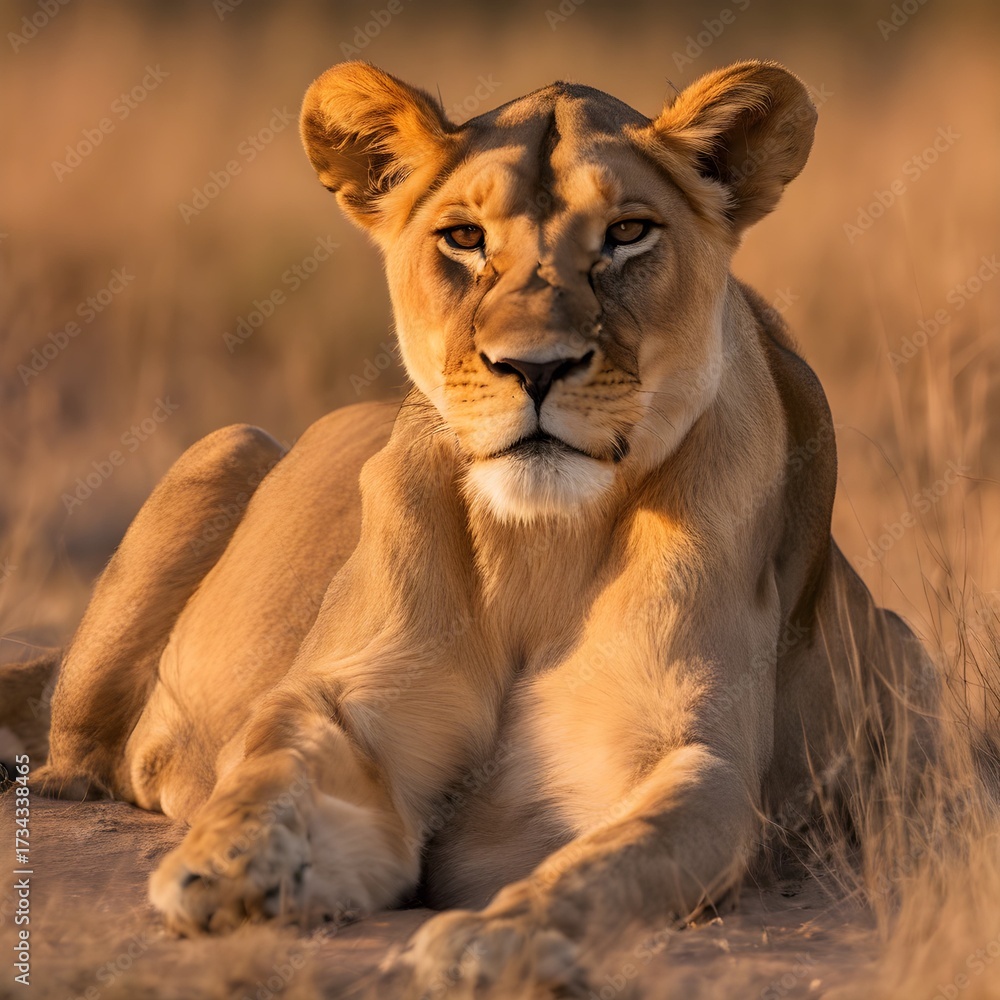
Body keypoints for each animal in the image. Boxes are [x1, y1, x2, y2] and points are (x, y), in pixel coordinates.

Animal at [31, 60, 935, 996]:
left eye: (629, 233)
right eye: (463, 238)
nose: (533, 368)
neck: (538, 547)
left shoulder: (683, 755)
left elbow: (616, 856)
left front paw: (501, 938)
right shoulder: (354, 711)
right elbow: (272, 766)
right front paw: (221, 864)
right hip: (226, 445)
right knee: (76, 754)